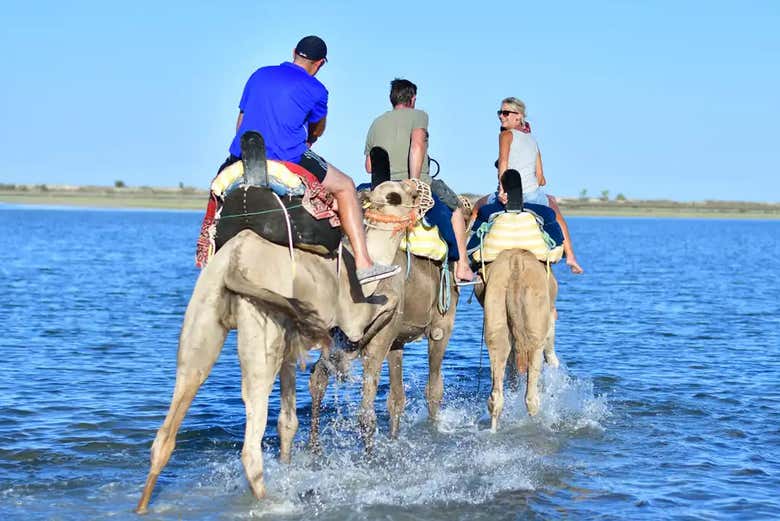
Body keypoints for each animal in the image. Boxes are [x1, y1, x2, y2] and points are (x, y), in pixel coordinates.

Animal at [136, 177, 424, 512]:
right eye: (394, 194)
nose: (417, 185)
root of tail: (234, 263)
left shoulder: (289, 343)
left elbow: (287, 422)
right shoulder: (353, 314)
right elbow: (384, 304)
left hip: (202, 323)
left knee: (169, 426)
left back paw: (142, 506)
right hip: (260, 329)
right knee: (250, 443)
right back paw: (272, 501)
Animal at [310, 249, 460, 450]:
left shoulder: (397, 340)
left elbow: (396, 398)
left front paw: (394, 439)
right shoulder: (442, 326)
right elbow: (434, 390)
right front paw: (433, 431)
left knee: (318, 376)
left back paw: (313, 448)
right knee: (366, 409)